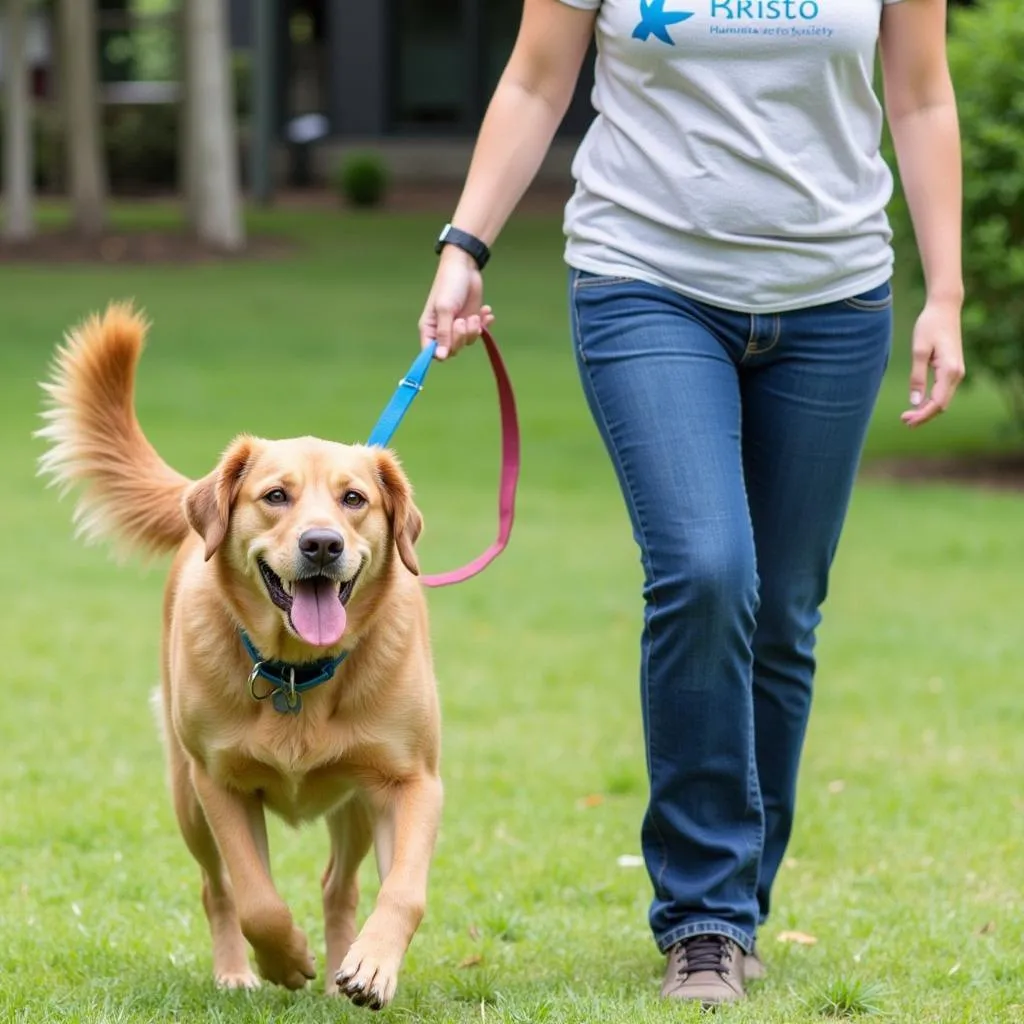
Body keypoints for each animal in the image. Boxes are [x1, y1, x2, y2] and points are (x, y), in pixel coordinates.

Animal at [35, 303, 444, 1007]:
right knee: (217, 889)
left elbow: (404, 891)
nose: (322, 544)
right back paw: (238, 971)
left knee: (339, 885)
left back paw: (339, 971)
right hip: (185, 797)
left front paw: (371, 966)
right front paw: (285, 960)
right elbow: (257, 899)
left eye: (354, 499)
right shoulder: (219, 782)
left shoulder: (412, 780)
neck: (299, 673)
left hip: (355, 804)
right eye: (276, 496)